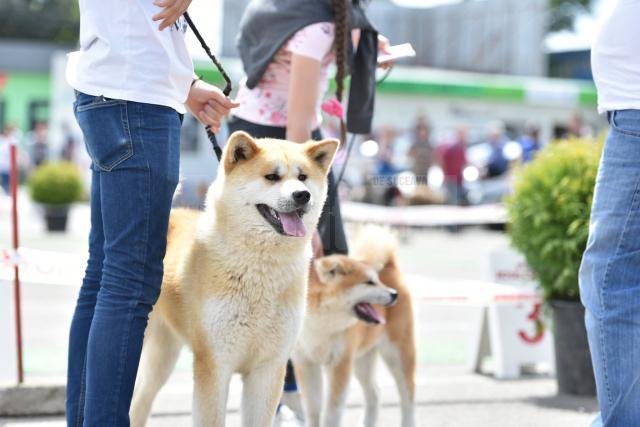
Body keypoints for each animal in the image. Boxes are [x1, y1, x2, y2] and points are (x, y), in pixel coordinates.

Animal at [129, 132, 340, 426]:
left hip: (163, 355)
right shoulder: (215, 363)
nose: (302, 195)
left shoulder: (268, 367)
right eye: (271, 177)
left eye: (303, 177)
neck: (260, 270)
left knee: (140, 401)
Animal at [292, 229, 418, 427]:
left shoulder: (340, 364)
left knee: (408, 394)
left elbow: (331, 413)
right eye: (369, 282)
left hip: (397, 353)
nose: (393, 294)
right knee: (374, 393)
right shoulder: (306, 363)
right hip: (362, 360)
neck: (322, 321)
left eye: (376, 281)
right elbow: (312, 410)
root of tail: (391, 268)